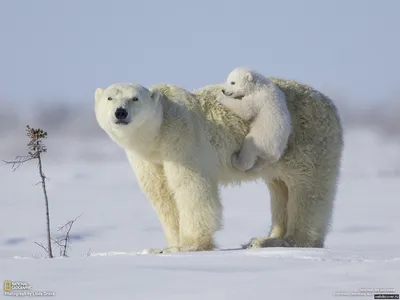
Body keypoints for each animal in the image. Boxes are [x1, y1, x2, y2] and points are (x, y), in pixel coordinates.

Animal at [94, 77, 344, 253]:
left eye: (135, 98)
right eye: (110, 98)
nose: (120, 112)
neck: (158, 133)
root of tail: (330, 104)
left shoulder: (182, 138)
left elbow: (191, 188)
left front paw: (190, 245)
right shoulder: (147, 158)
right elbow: (162, 195)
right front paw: (168, 245)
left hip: (307, 139)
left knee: (307, 189)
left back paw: (293, 240)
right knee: (279, 187)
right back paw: (266, 239)